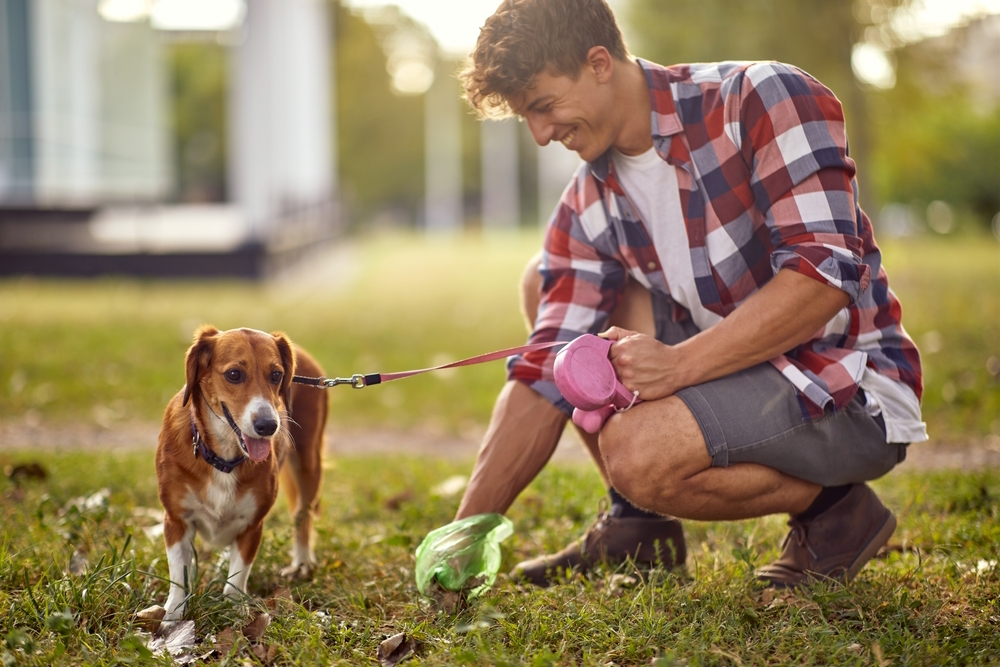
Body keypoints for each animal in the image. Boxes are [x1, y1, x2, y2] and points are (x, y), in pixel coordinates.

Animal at [156, 326, 328, 624]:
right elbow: (179, 575)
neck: (224, 459)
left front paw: (234, 609)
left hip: (309, 463)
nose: (268, 426)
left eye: (276, 375)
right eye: (234, 374)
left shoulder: (252, 524)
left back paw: (302, 562)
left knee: (302, 515)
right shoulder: (176, 520)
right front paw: (173, 616)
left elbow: (237, 577)